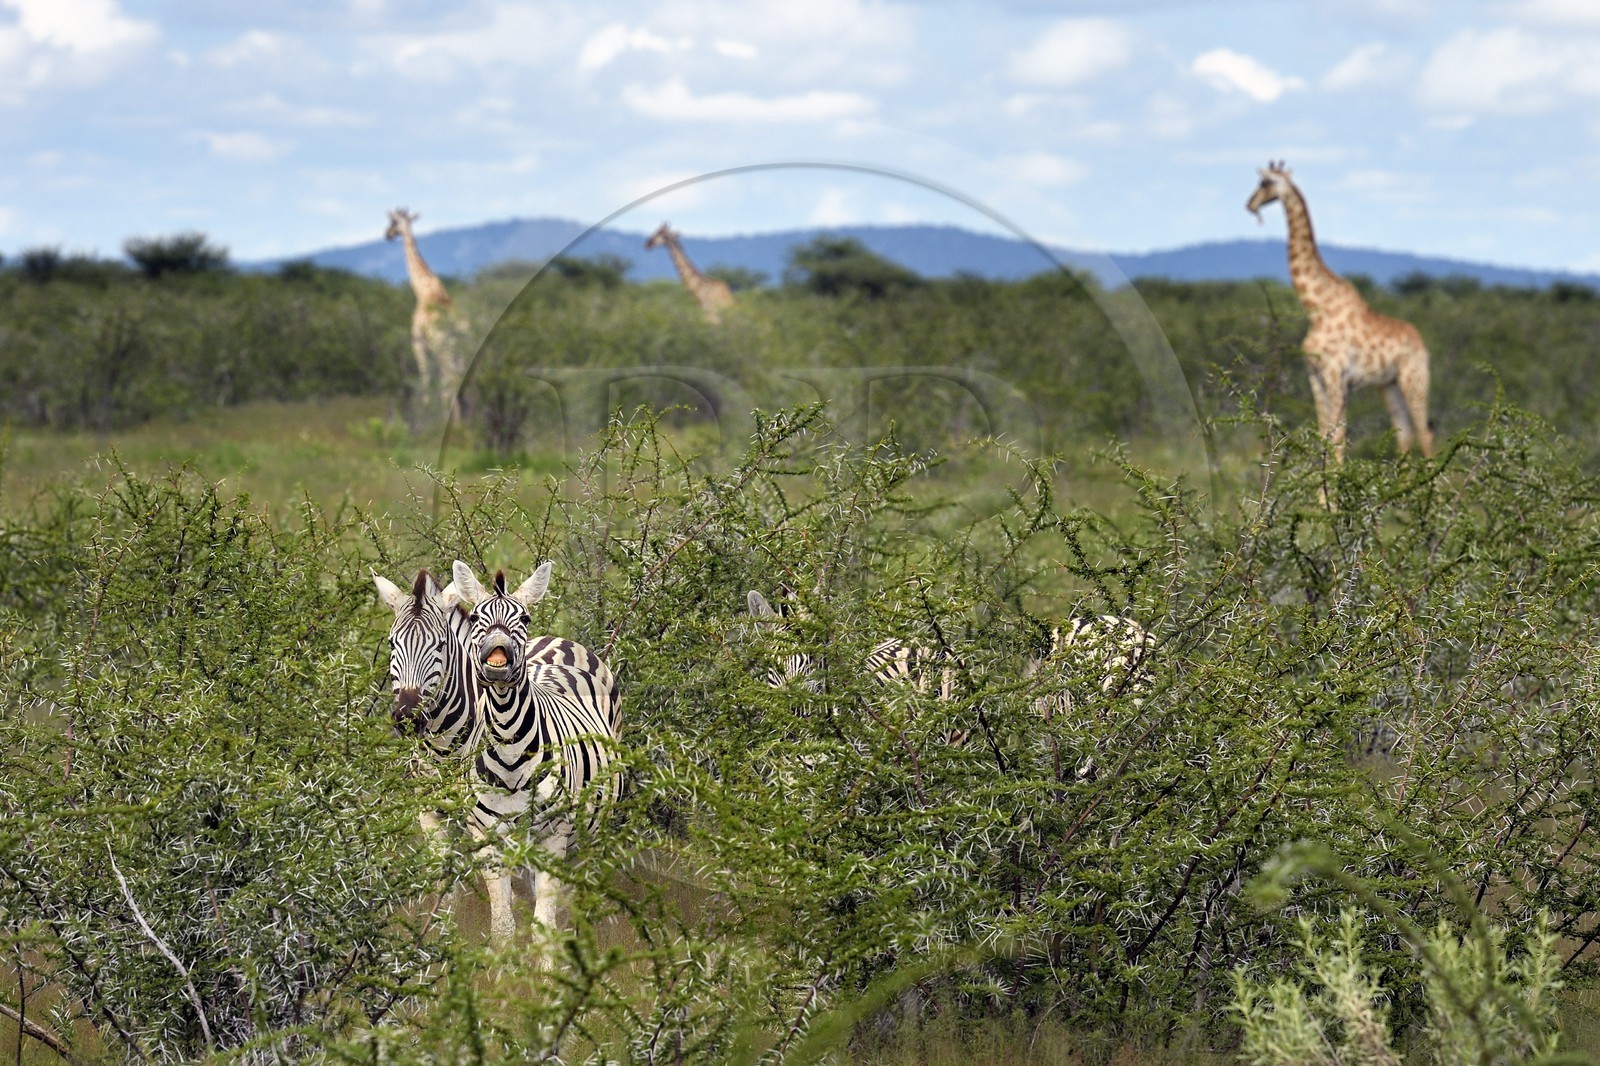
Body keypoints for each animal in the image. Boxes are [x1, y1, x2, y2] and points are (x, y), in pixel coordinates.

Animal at [385, 208, 466, 418]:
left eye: (393, 222)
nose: (387, 234)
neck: (422, 289)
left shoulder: (418, 344)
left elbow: (426, 381)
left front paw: (426, 411)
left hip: (442, 348)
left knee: (450, 380)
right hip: (460, 348)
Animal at [1246, 162, 1433, 462]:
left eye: (1265, 182)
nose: (1250, 204)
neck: (1316, 309)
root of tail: (1421, 343)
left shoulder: (1336, 374)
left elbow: (1339, 437)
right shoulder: (1315, 376)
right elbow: (1324, 433)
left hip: (1413, 378)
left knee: (1425, 433)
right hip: (1389, 384)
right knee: (1405, 433)